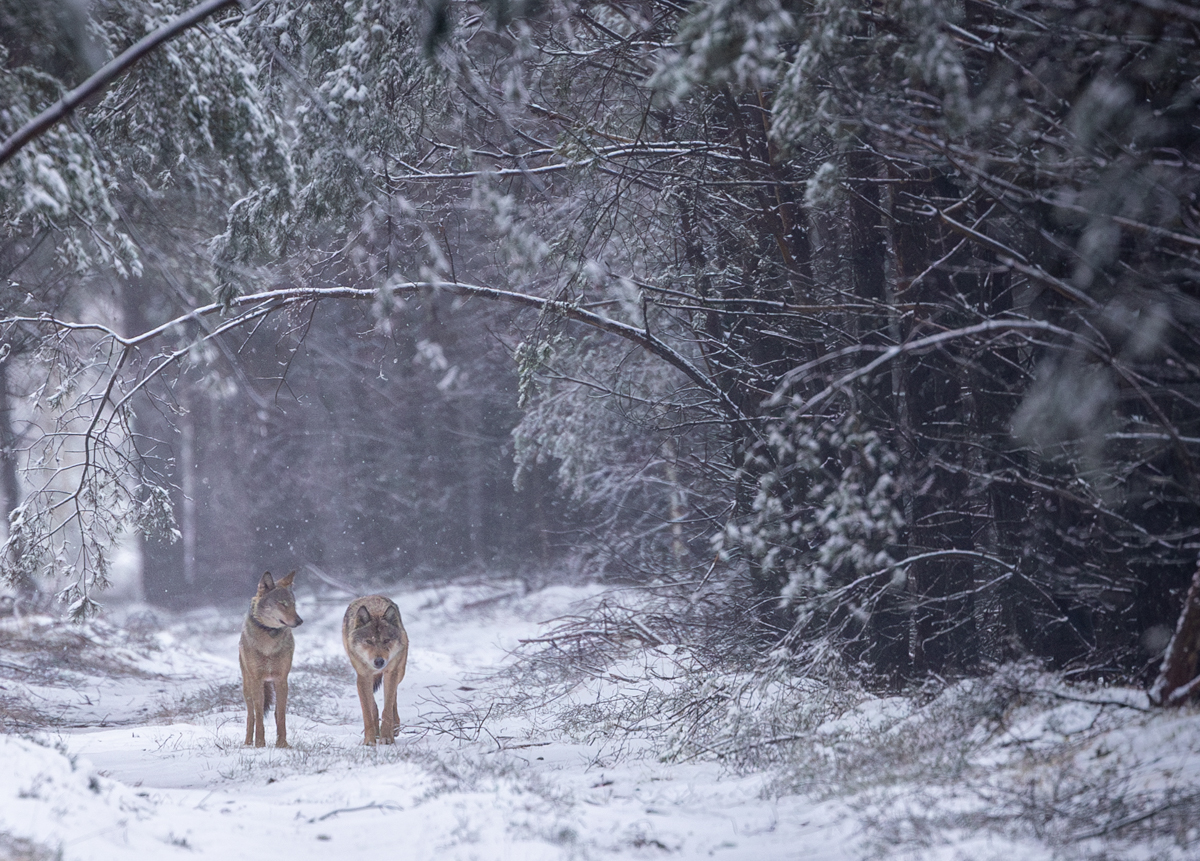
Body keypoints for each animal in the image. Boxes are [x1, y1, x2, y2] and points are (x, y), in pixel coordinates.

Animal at [238, 573, 302, 748]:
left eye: (294, 604)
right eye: (282, 603)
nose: (300, 621)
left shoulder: (282, 679)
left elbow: (280, 715)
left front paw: (282, 744)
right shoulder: (257, 680)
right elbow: (259, 715)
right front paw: (260, 743)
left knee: (275, 712)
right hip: (247, 687)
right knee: (251, 715)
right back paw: (248, 743)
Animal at [343, 597, 408, 743]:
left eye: (386, 640)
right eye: (369, 641)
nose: (379, 661)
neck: (375, 611)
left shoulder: (391, 673)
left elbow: (387, 709)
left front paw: (386, 738)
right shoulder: (363, 676)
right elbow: (367, 711)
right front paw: (369, 741)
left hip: (400, 673)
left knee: (394, 697)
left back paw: (394, 727)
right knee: (374, 704)